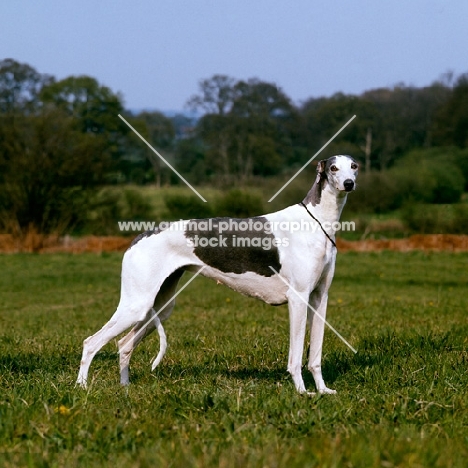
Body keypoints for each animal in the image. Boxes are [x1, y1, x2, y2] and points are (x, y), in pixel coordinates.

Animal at [78, 155, 360, 394]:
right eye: (334, 168)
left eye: (354, 166)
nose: (349, 184)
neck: (316, 222)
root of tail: (139, 237)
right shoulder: (298, 299)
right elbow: (296, 355)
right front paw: (302, 392)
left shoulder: (320, 298)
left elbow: (315, 355)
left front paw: (322, 390)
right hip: (136, 305)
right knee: (91, 342)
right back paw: (81, 388)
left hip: (159, 306)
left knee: (123, 344)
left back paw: (125, 387)